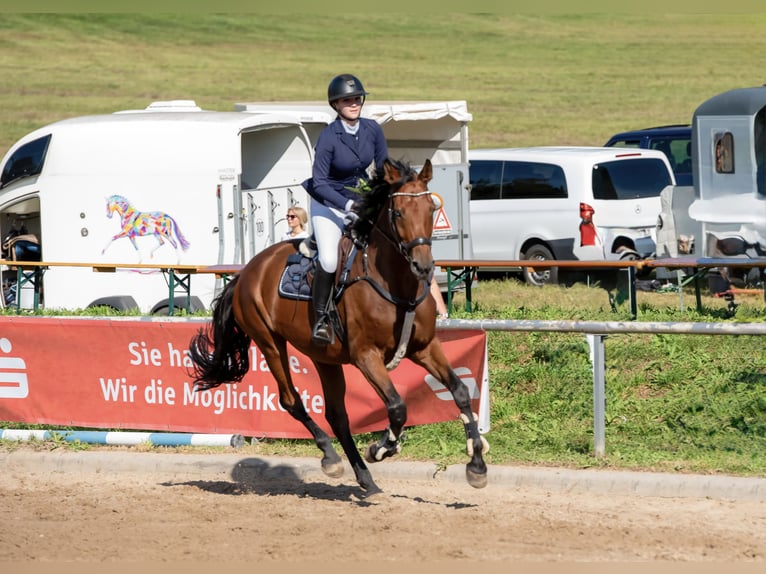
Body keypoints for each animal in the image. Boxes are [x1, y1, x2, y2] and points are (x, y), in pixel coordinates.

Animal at [188, 158, 488, 495]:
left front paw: (476, 465)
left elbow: (460, 391)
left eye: (430, 209)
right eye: (398, 213)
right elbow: (397, 406)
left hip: (324, 357)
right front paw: (382, 448)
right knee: (291, 400)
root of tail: (247, 271)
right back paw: (331, 457)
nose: (423, 267)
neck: (397, 284)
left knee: (337, 414)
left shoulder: (424, 348)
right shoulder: (366, 356)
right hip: (269, 343)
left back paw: (364, 478)